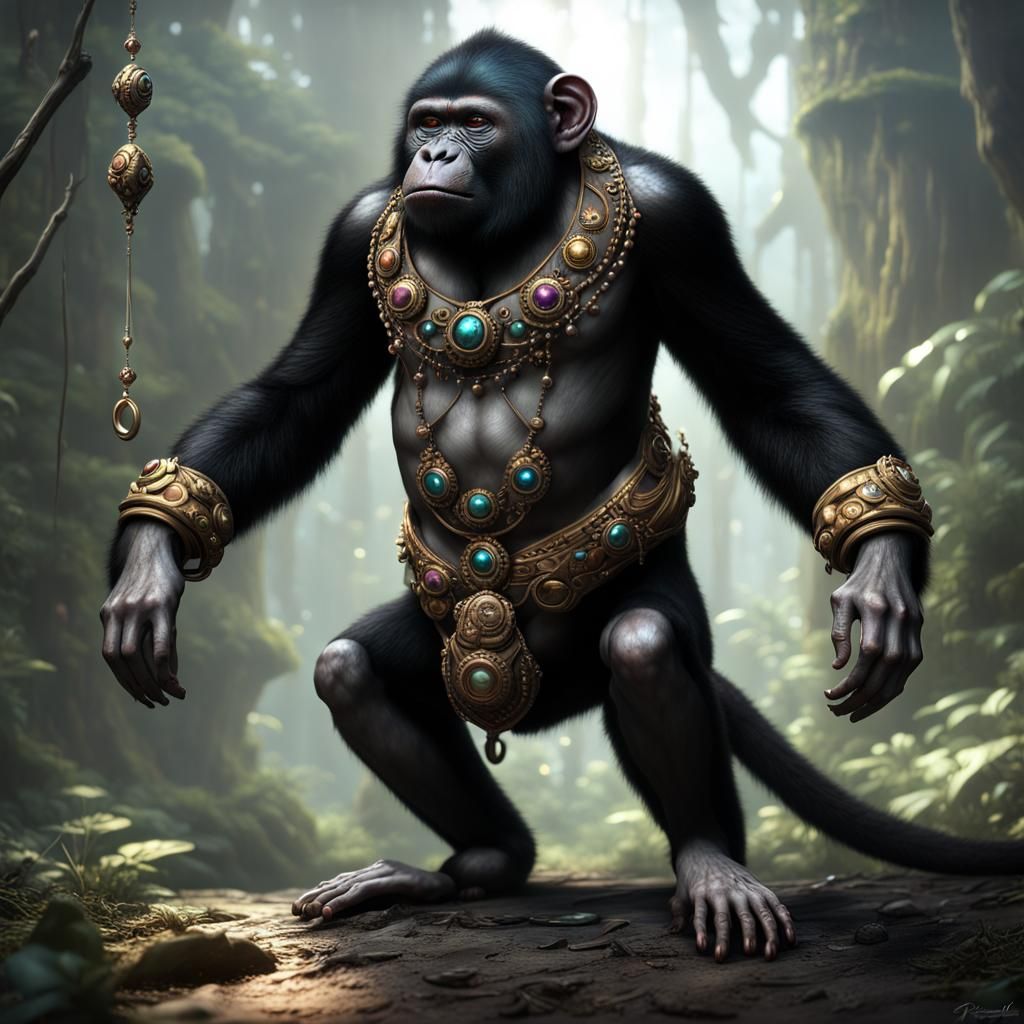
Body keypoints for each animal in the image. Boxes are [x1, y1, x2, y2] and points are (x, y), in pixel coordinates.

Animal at [101, 31, 1023, 964]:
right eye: (427, 123)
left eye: (476, 124)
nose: (434, 156)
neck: (514, 224)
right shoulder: (350, 235)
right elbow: (294, 397)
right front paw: (151, 560)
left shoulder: (684, 218)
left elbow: (770, 388)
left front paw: (881, 565)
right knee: (350, 671)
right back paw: (480, 861)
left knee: (645, 649)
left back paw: (711, 862)